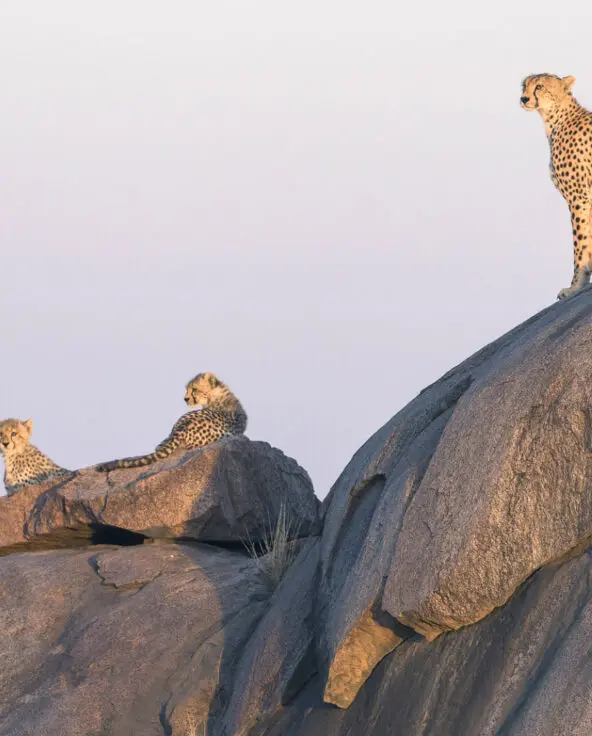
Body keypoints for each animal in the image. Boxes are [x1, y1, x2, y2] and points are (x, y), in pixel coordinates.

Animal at [521, 73, 592, 300]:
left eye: (539, 86)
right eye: (524, 85)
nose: (524, 98)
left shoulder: (578, 197)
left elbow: (581, 244)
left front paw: (575, 287)